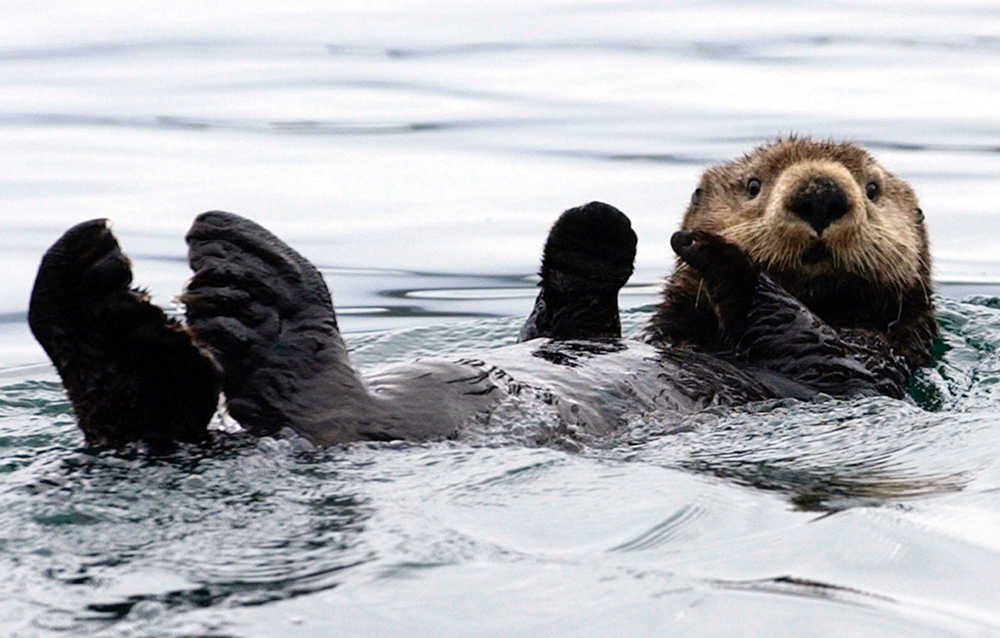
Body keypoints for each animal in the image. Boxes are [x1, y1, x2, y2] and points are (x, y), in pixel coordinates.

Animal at [27, 138, 936, 449]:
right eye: (752, 185)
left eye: (872, 189)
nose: (818, 194)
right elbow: (568, 316)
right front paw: (594, 231)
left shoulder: (862, 367)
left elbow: (802, 335)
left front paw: (711, 253)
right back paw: (98, 305)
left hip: (348, 416)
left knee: (317, 404)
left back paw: (248, 291)